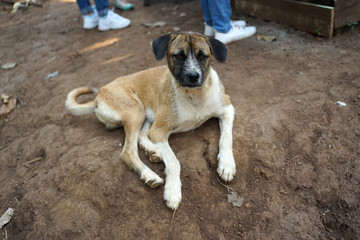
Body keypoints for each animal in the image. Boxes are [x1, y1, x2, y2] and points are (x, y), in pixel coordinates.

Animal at [64, 31, 236, 208]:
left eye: (203, 56)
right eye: (178, 56)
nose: (193, 76)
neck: (195, 96)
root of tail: (98, 96)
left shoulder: (227, 109)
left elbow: (226, 138)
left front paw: (227, 165)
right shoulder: (159, 130)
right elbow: (174, 161)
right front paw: (173, 191)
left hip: (145, 115)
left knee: (142, 135)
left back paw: (154, 151)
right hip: (135, 111)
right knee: (128, 152)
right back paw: (150, 173)